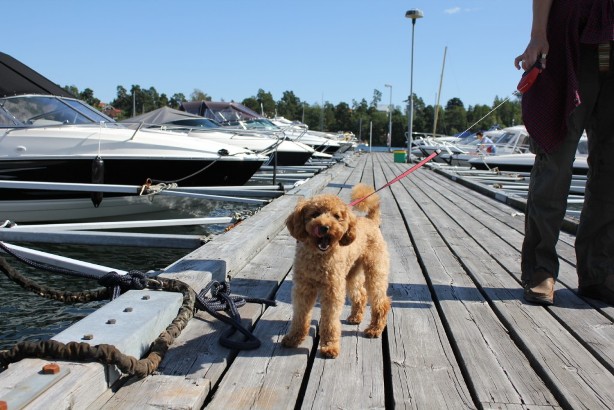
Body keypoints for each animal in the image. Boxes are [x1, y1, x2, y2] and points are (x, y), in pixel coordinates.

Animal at [282, 184, 392, 358]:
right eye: (315, 214)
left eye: (336, 216)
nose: (324, 227)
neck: (319, 257)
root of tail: (371, 220)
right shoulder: (303, 288)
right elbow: (300, 315)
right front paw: (294, 338)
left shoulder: (332, 290)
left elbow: (330, 320)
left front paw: (329, 346)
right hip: (351, 273)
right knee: (361, 295)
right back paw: (355, 317)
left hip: (375, 269)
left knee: (381, 301)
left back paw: (374, 329)